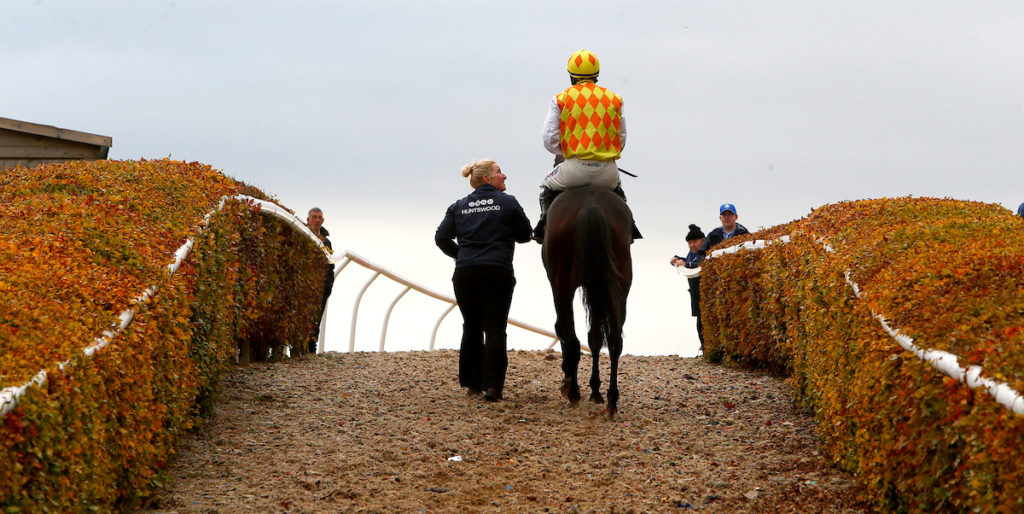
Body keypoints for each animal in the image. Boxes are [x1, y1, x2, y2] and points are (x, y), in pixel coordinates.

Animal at [544, 184, 630, 417]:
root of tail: (591, 208)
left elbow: (565, 331)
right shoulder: (596, 286)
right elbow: (595, 337)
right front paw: (596, 391)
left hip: (562, 284)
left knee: (569, 336)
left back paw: (572, 392)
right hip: (619, 282)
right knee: (615, 339)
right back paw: (611, 401)